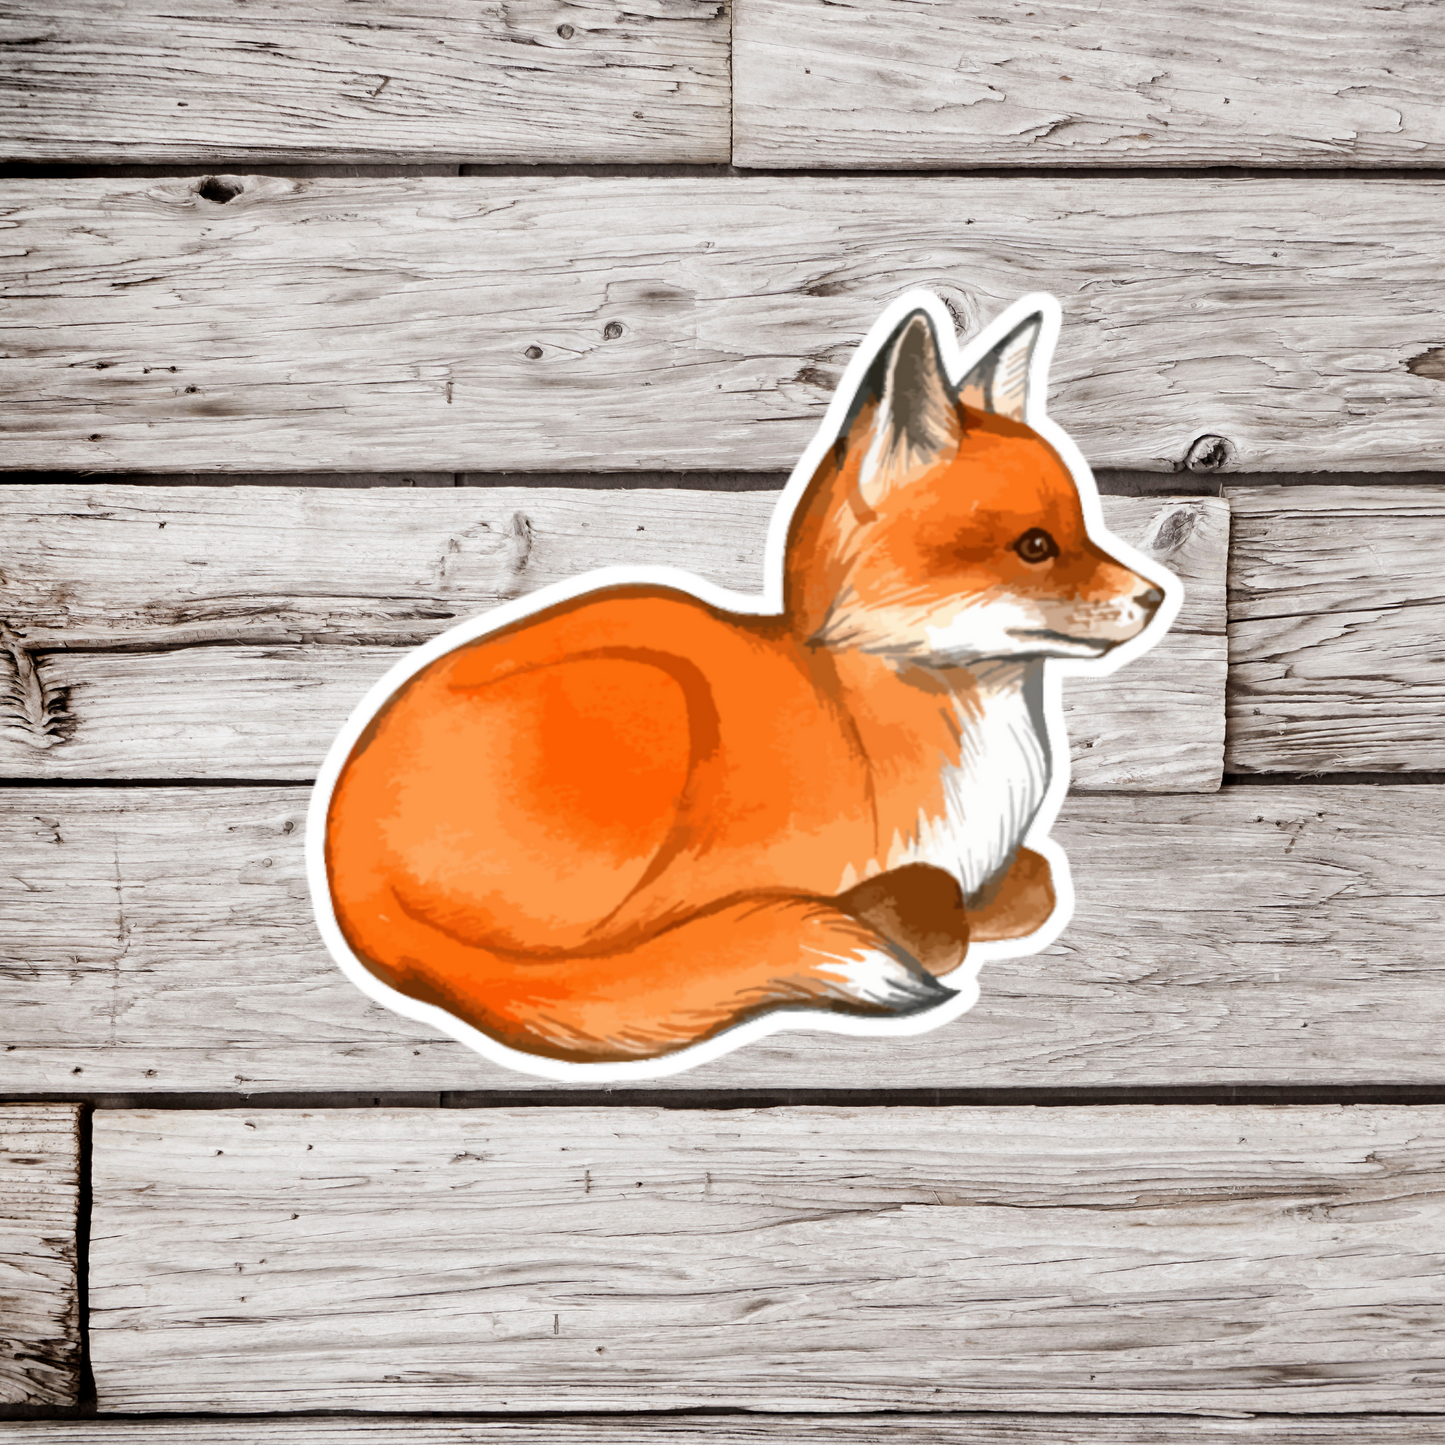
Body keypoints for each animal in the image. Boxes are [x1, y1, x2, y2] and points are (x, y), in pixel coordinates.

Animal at [312, 291, 1178, 1079]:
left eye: (1082, 527)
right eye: (1034, 545)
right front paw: (901, 917)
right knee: (592, 972)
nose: (1157, 598)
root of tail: (342, 843)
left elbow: (1036, 885)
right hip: (660, 711)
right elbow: (929, 910)